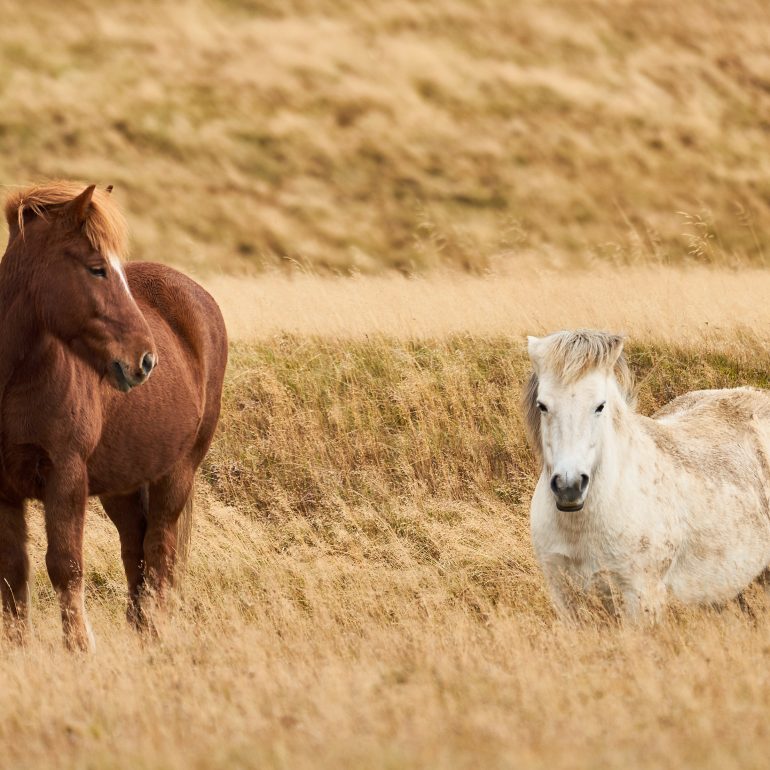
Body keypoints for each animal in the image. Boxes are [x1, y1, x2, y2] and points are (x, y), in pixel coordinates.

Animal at [0, 182, 228, 650]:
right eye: (97, 269)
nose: (144, 361)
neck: (15, 380)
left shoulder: (66, 476)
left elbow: (65, 564)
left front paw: (79, 648)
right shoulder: (3, 489)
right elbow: (13, 572)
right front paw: (17, 649)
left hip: (177, 472)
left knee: (159, 549)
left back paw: (155, 632)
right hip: (121, 484)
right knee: (134, 547)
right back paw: (139, 628)